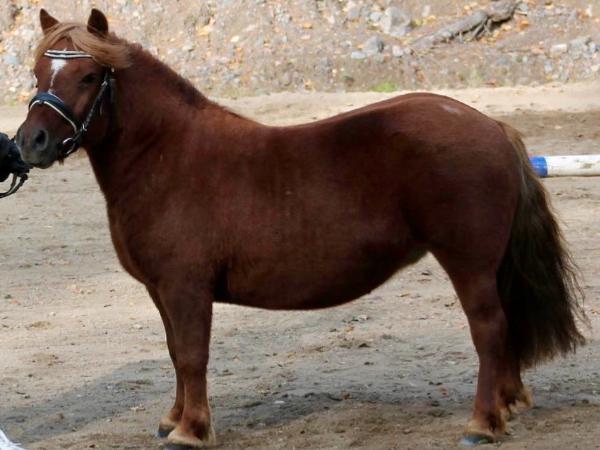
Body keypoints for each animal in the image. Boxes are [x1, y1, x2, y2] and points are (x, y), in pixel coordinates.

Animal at [17, 8, 585, 449]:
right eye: (39, 72)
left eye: (89, 77)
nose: (31, 143)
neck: (169, 157)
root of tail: (492, 126)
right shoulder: (162, 292)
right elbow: (176, 354)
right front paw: (173, 420)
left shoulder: (185, 289)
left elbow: (193, 356)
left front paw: (191, 430)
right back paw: (507, 406)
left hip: (468, 264)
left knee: (489, 329)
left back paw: (482, 424)